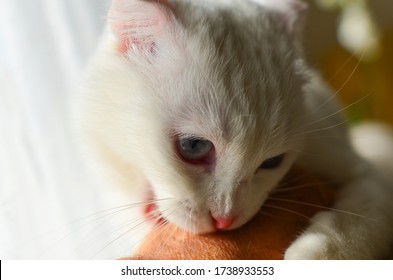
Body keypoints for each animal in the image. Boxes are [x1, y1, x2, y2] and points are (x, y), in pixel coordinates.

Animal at [74, 0, 392, 260]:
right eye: (193, 146)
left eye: (272, 162)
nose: (224, 219)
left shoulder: (369, 175)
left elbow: (350, 224)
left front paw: (310, 257)